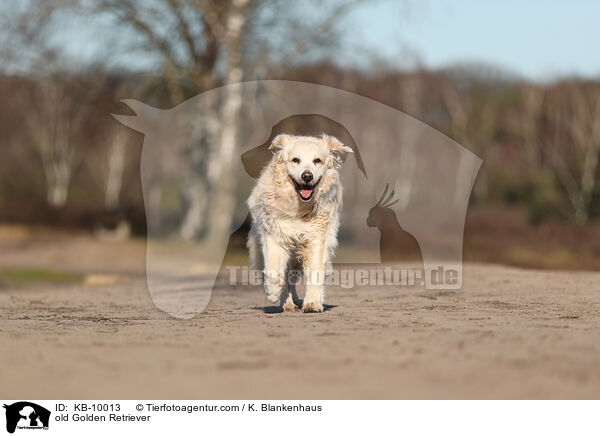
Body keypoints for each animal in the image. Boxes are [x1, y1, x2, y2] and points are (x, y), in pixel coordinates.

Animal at [247, 135, 354, 312]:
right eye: (295, 160)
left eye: (317, 160)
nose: (307, 176)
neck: (299, 206)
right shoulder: (275, 234)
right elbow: (274, 269)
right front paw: (273, 292)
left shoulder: (317, 238)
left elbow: (315, 272)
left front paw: (312, 303)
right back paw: (286, 301)